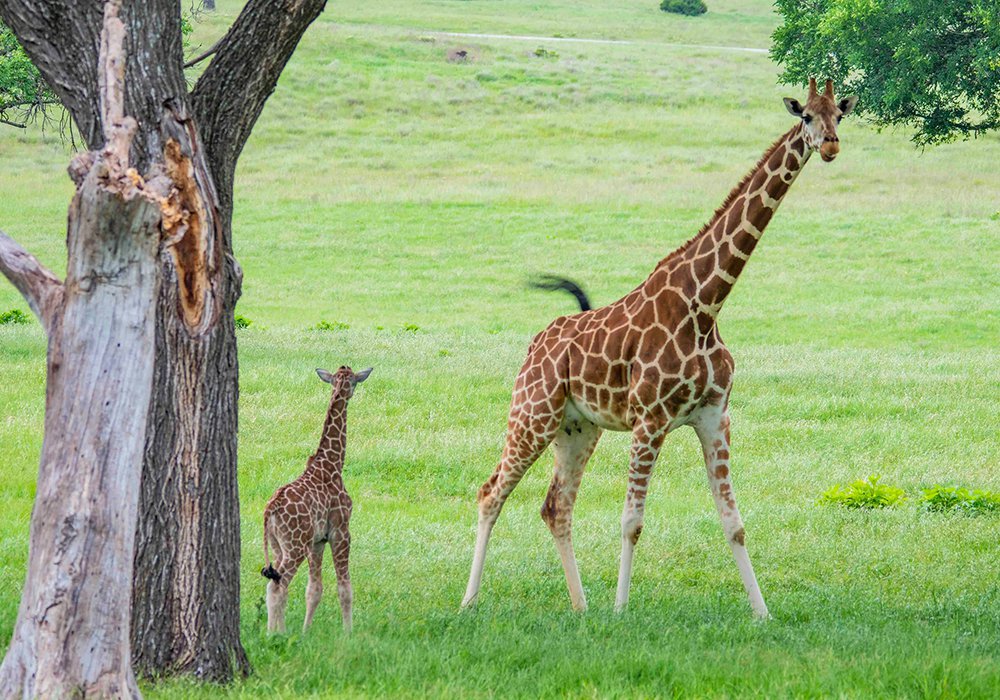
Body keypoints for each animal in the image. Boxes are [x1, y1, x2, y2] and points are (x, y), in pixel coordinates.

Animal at [262, 366, 376, 636]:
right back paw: (276, 634)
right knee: (279, 585)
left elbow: (313, 590)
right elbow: (345, 588)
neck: (333, 464)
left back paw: (275, 632)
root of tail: (270, 510)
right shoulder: (341, 532)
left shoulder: (317, 541)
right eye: (355, 380)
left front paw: (305, 631)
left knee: (274, 585)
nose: (351, 392)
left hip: (278, 546)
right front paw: (348, 633)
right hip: (294, 546)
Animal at [462, 80, 860, 616]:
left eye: (839, 113)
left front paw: (762, 614)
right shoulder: (649, 419)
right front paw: (620, 611)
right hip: (533, 411)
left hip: (577, 427)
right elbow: (632, 521)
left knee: (556, 506)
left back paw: (580, 607)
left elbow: (735, 524)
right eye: (806, 117)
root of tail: (536, 343)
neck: (705, 304)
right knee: (491, 492)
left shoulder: (714, 417)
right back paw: (469, 602)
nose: (831, 146)